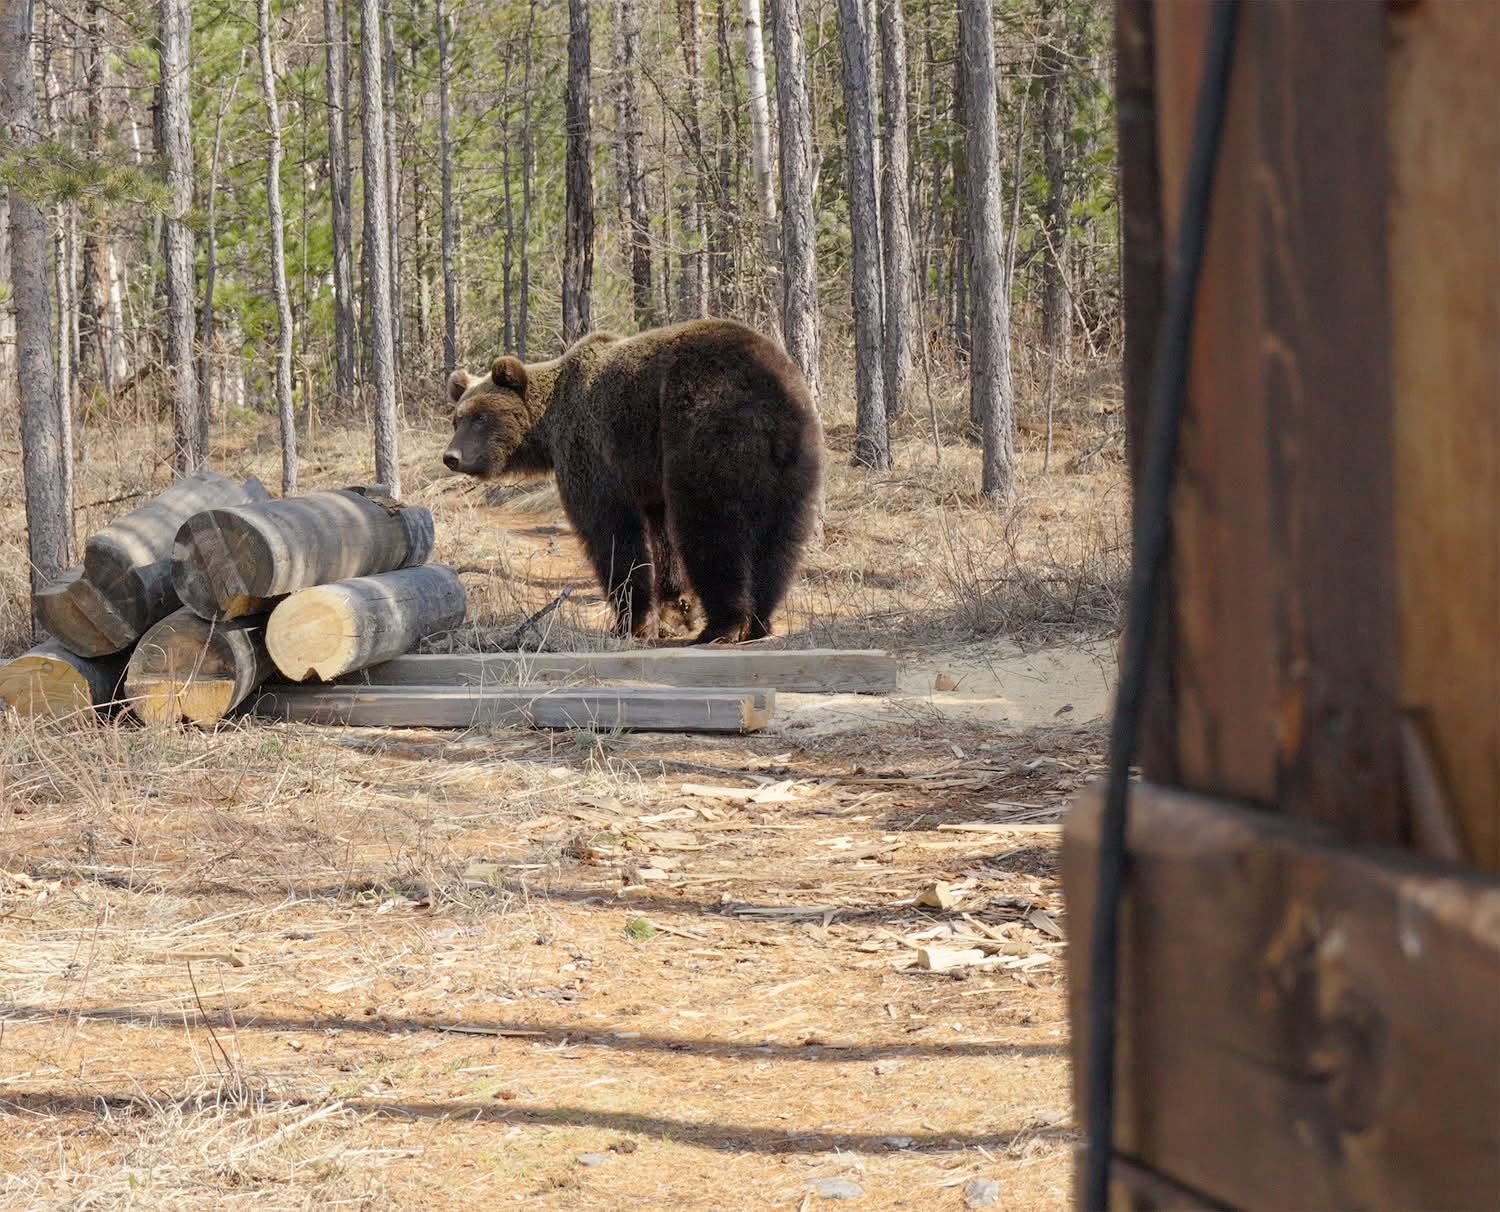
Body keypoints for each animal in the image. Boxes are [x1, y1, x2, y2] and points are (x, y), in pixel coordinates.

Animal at [443, 318, 824, 645]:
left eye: (480, 417)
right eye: (457, 419)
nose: (451, 456)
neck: (548, 426)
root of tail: (769, 392)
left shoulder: (593, 448)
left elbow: (610, 531)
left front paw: (630, 622)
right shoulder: (649, 477)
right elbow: (662, 534)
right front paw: (675, 610)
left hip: (705, 427)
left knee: (711, 528)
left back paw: (722, 626)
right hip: (795, 457)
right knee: (780, 541)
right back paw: (759, 621)